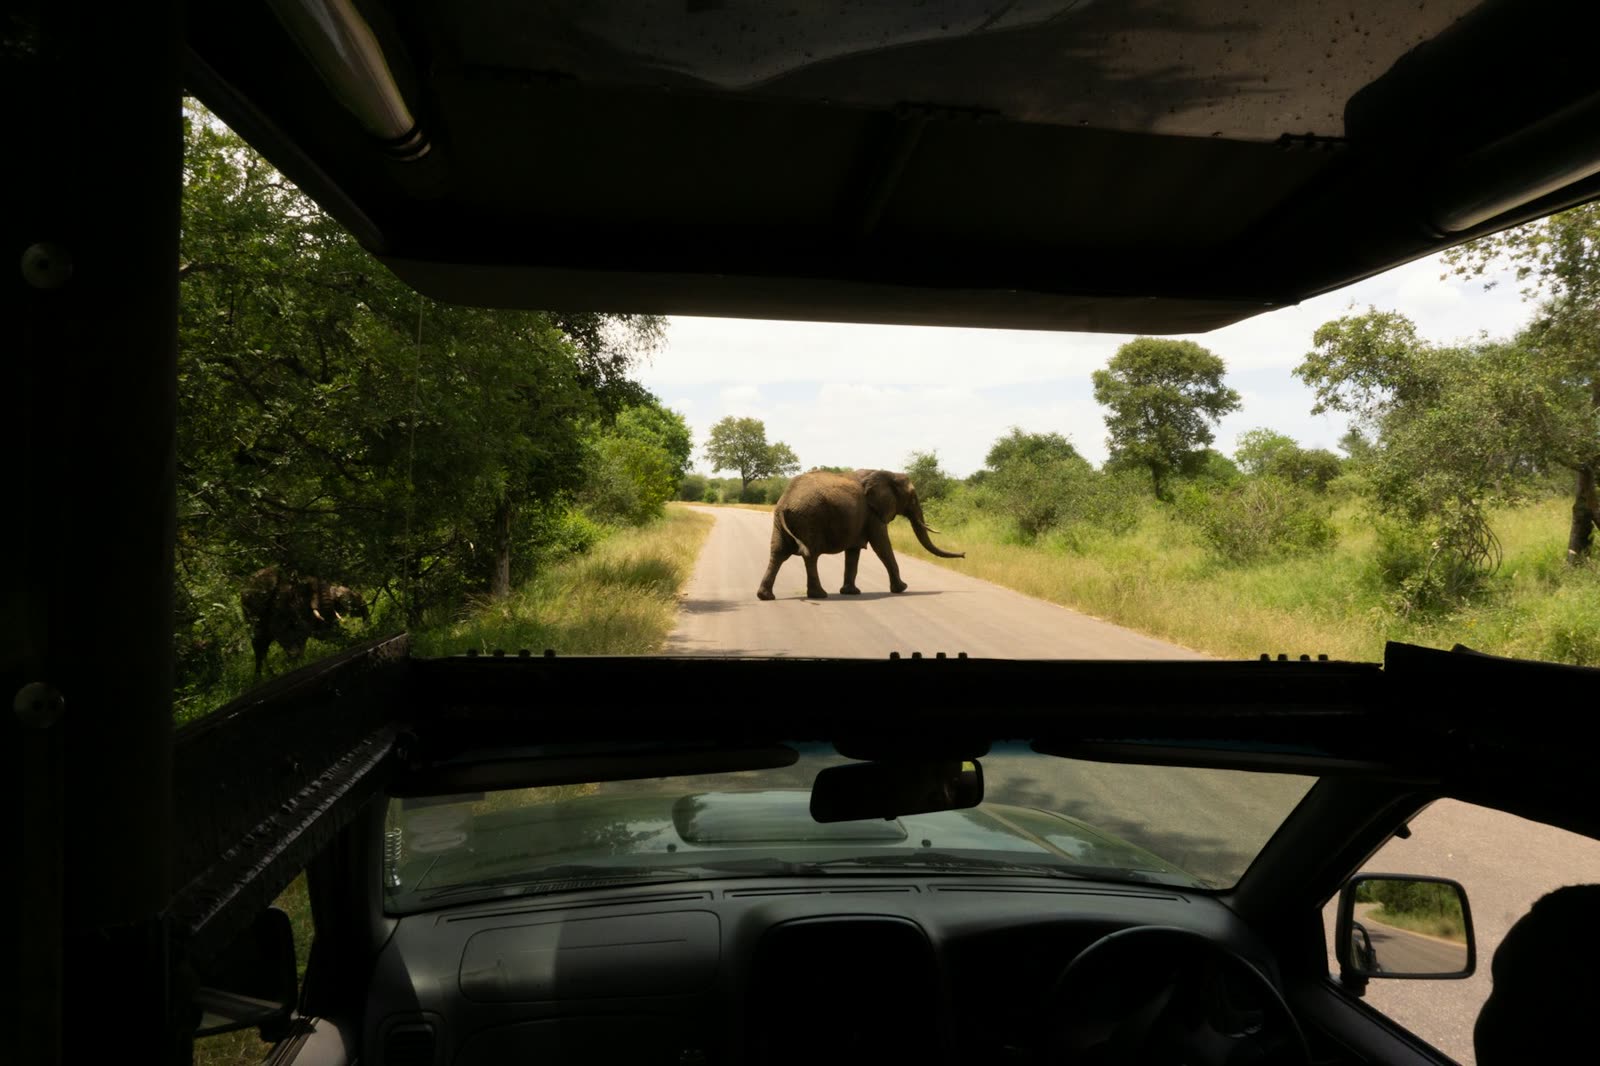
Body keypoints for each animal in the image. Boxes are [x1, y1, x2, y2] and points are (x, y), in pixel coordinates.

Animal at [757, 468, 964, 601]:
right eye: (913, 498)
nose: (964, 554)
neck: (886, 473)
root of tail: (786, 501)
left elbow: (854, 551)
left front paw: (851, 592)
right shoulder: (873, 514)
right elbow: (882, 545)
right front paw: (902, 588)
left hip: (782, 523)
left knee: (778, 554)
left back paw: (765, 596)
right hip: (810, 519)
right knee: (810, 555)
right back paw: (820, 595)